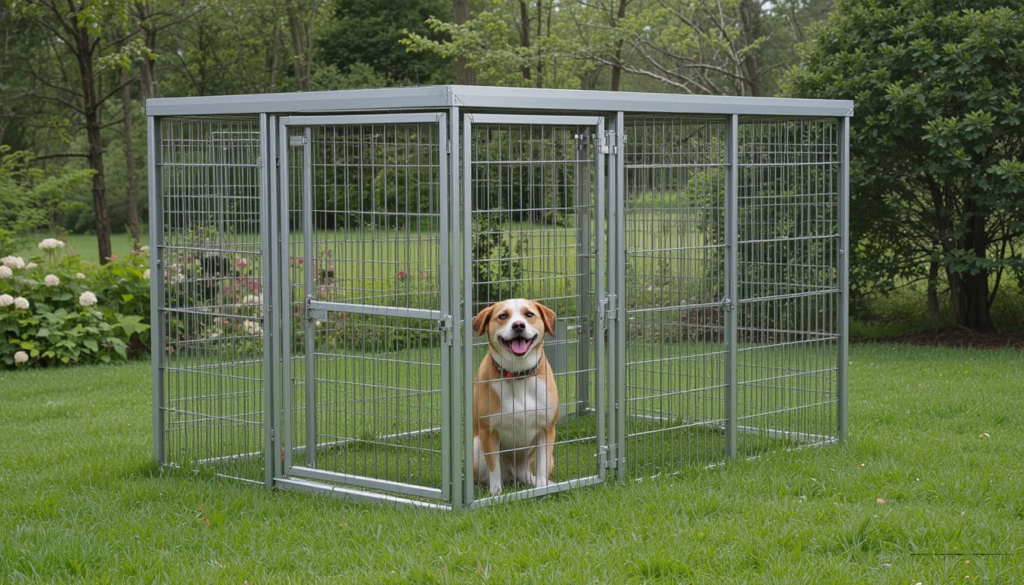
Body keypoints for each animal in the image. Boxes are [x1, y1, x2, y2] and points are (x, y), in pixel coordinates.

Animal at [473, 299, 561, 495]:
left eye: (529, 314)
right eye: (503, 316)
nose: (519, 325)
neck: (519, 375)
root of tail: (516, 473)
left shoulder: (546, 429)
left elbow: (542, 467)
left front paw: (542, 489)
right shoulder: (489, 432)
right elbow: (494, 470)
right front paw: (496, 494)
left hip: (545, 458)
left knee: (531, 473)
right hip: (476, 450)